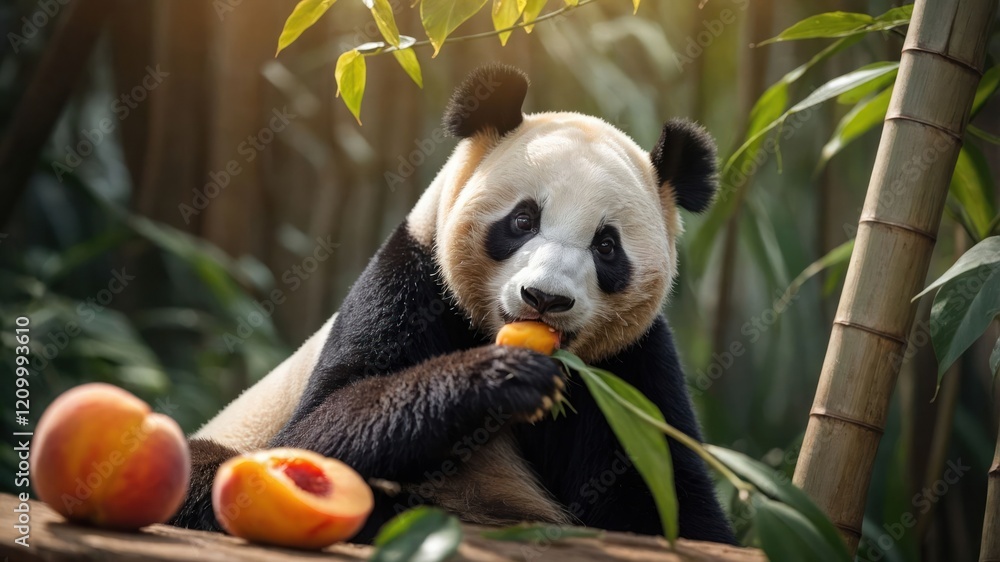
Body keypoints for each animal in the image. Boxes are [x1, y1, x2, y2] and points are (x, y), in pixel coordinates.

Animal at [170, 64, 735, 545]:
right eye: (523, 220)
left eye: (606, 246)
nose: (544, 298)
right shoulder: (409, 284)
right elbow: (317, 432)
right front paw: (499, 377)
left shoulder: (628, 369)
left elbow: (670, 494)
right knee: (208, 470)